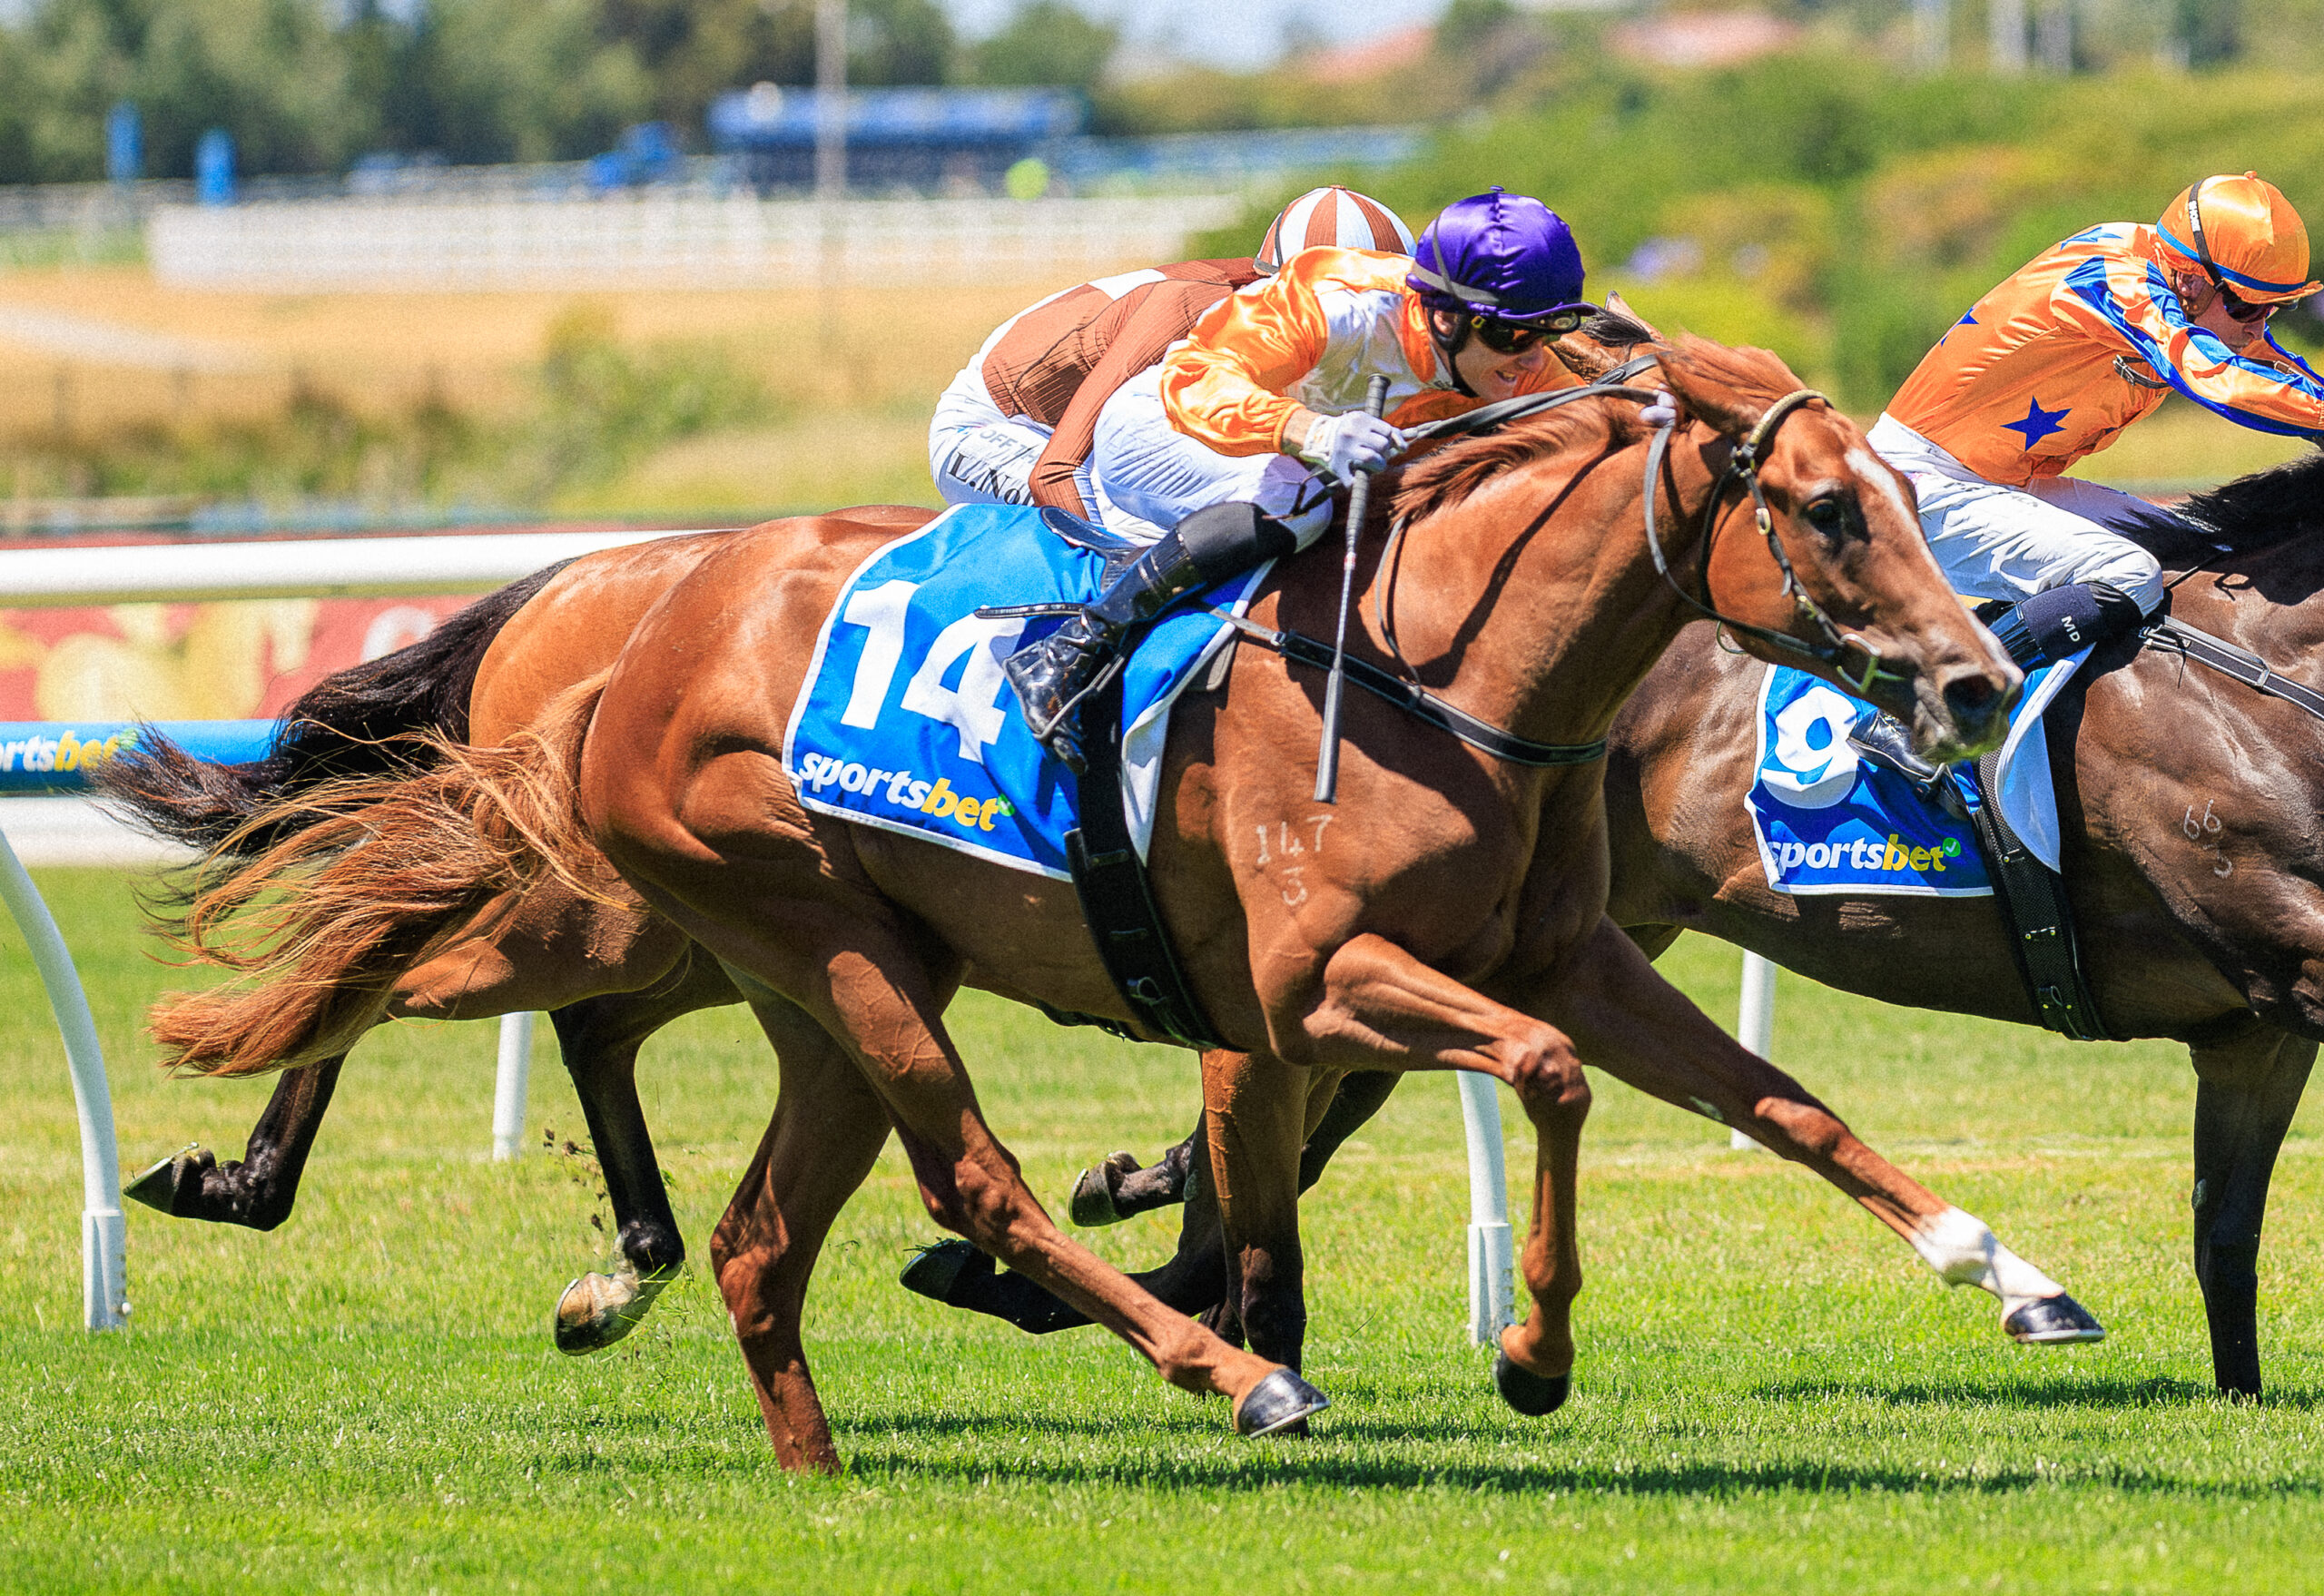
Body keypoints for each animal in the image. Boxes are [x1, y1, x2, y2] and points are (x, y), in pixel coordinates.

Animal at [116, 336, 2024, 1466]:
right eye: (1828, 509)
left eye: (1898, 496)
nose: (1980, 679)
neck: (1437, 672)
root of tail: (639, 611)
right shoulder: (1315, 979)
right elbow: (1523, 1084)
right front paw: (1524, 1350)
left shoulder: (1557, 954)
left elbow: (1779, 1099)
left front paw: (2008, 1271)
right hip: (760, 928)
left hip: (812, 964)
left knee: (745, 1223)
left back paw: (792, 1438)